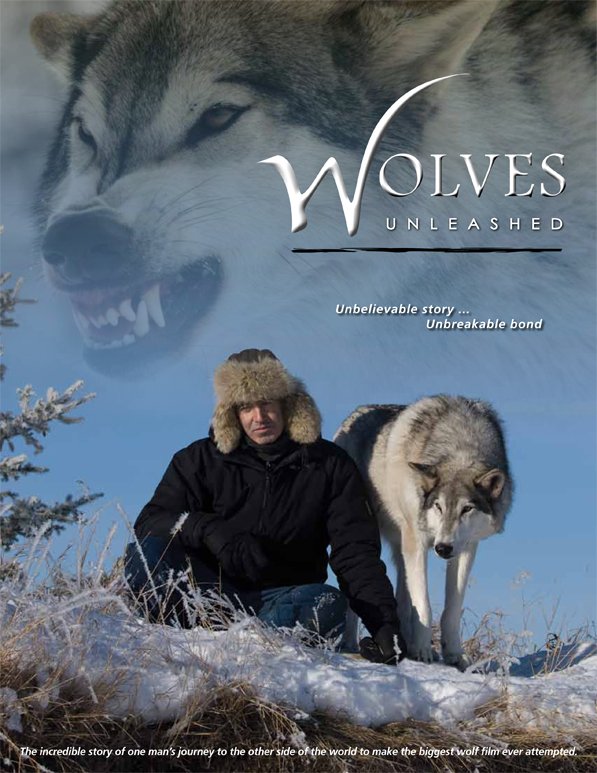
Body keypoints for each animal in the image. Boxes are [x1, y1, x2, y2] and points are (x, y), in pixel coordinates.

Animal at [334, 396, 512, 670]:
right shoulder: (416, 541)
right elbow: (424, 605)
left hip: (401, 548)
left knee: (402, 595)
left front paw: (454, 654)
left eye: (467, 509)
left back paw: (403, 641)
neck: (459, 448)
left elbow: (452, 609)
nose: (442, 548)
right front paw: (422, 651)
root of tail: (355, 412)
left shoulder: (466, 548)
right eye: (438, 506)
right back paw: (350, 643)